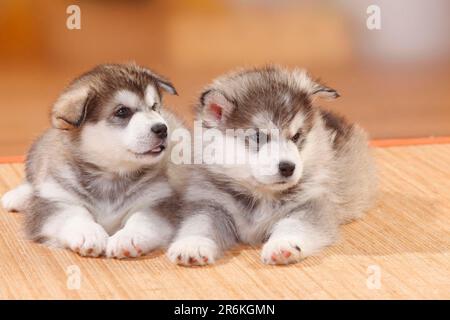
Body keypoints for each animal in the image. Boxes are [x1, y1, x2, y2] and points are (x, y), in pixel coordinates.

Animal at [1, 63, 182, 258]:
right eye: (122, 111)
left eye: (154, 106)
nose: (162, 129)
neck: (110, 175)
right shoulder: (54, 202)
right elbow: (73, 214)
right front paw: (87, 233)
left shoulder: (158, 200)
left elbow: (142, 219)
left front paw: (128, 237)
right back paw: (17, 196)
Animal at [167, 65, 374, 264]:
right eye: (259, 137)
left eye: (296, 136)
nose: (288, 167)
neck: (261, 194)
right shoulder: (210, 204)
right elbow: (199, 224)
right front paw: (192, 245)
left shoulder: (311, 204)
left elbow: (295, 225)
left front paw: (283, 245)